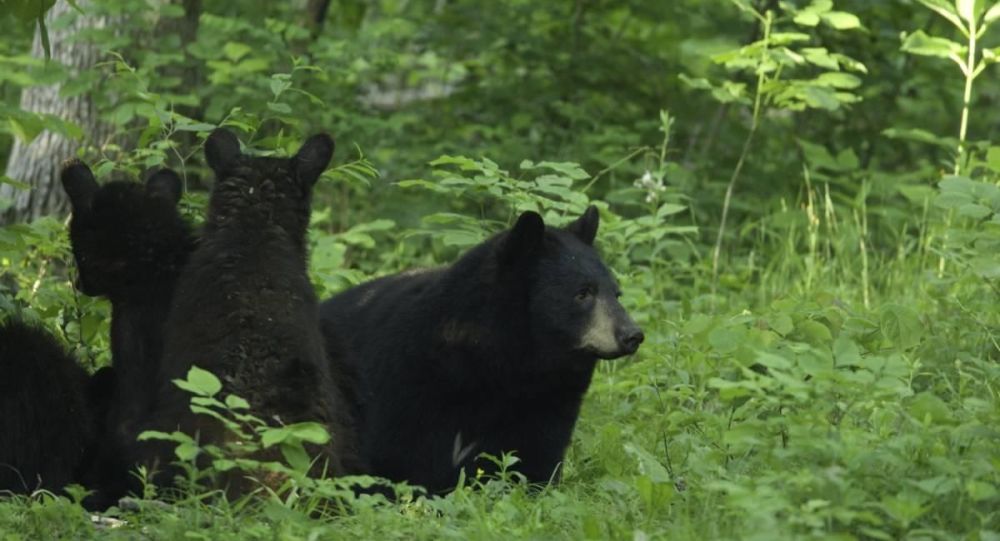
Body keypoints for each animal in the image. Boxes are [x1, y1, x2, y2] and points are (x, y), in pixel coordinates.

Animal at [322, 205, 648, 492]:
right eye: (583, 293)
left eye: (616, 293)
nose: (632, 335)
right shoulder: (403, 383)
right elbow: (395, 461)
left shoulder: (546, 402)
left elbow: (534, 460)